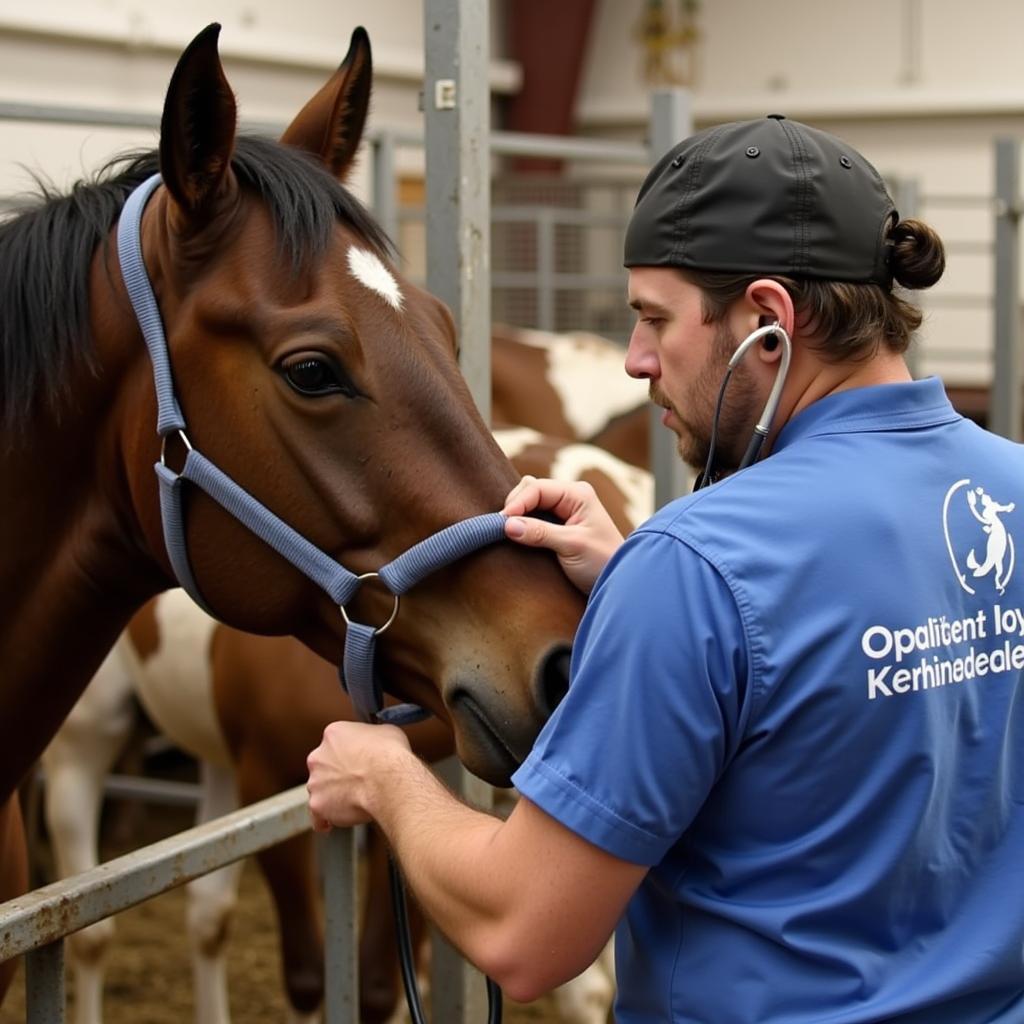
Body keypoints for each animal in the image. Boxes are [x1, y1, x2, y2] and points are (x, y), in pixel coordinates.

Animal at [44, 428, 647, 1019]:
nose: (565, 669)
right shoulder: (269, 779)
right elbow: (311, 979)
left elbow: (381, 984)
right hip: (85, 741)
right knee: (95, 937)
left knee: (207, 915)